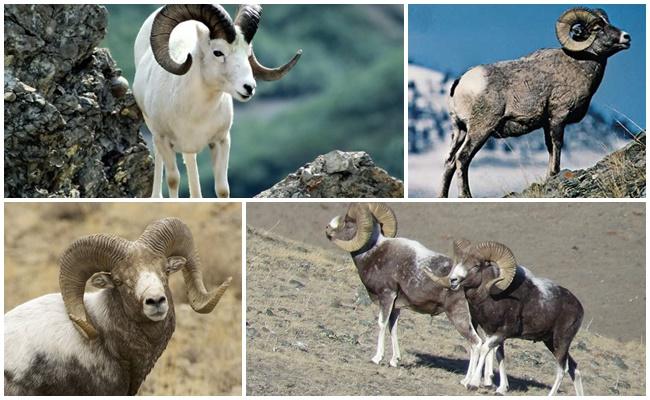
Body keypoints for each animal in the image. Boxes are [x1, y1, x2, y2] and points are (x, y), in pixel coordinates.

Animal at [135, 5, 302, 199]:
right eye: (218, 52)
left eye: (248, 53)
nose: (249, 87)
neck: (195, 115)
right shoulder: (163, 140)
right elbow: (173, 180)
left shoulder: (221, 141)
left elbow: (222, 188)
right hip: (155, 134)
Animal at [324, 205, 496, 386]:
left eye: (348, 222)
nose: (328, 229)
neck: (373, 253)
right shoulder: (396, 307)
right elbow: (393, 328)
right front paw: (394, 361)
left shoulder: (386, 296)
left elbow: (382, 324)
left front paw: (377, 358)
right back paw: (486, 381)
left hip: (460, 318)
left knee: (476, 343)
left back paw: (467, 381)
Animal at [426, 239, 584, 396]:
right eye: (460, 262)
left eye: (476, 265)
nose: (453, 280)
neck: (493, 297)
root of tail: (579, 309)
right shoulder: (493, 334)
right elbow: (499, 355)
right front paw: (501, 389)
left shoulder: (502, 332)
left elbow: (484, 349)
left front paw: (473, 384)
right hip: (550, 342)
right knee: (573, 368)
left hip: (561, 341)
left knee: (562, 369)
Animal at [440, 7, 628, 198]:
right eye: (597, 28)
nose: (626, 37)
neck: (578, 64)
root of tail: (461, 82)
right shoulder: (558, 118)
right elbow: (557, 146)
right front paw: (554, 174)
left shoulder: (546, 124)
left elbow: (550, 148)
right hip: (480, 129)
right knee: (462, 158)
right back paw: (466, 195)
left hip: (460, 130)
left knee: (449, 162)